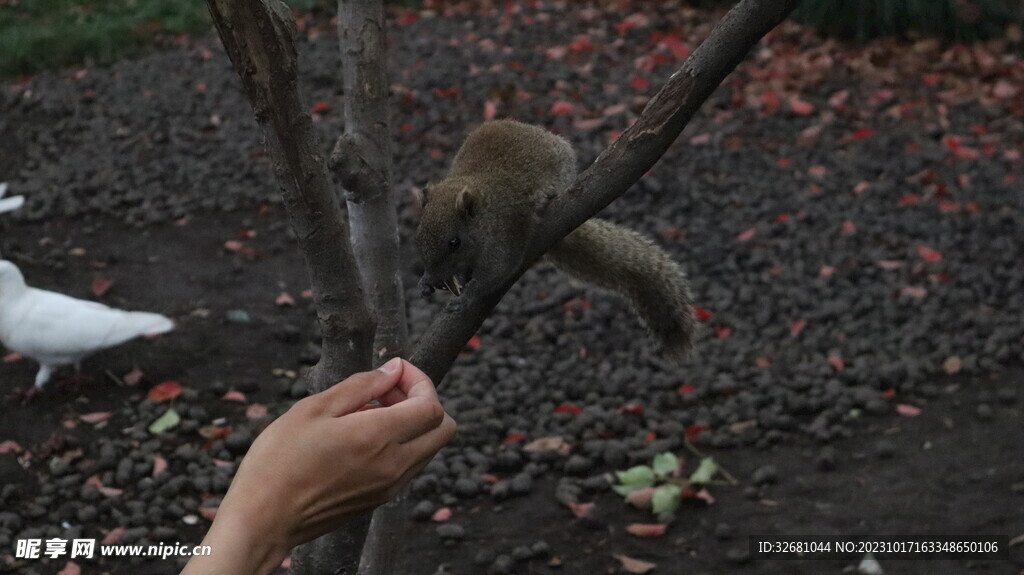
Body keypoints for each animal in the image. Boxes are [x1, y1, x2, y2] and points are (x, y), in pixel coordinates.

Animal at [413, 117, 696, 358]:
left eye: (454, 243)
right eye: (418, 236)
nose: (435, 278)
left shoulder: (504, 233)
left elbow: (497, 272)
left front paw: (467, 297)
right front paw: (426, 282)